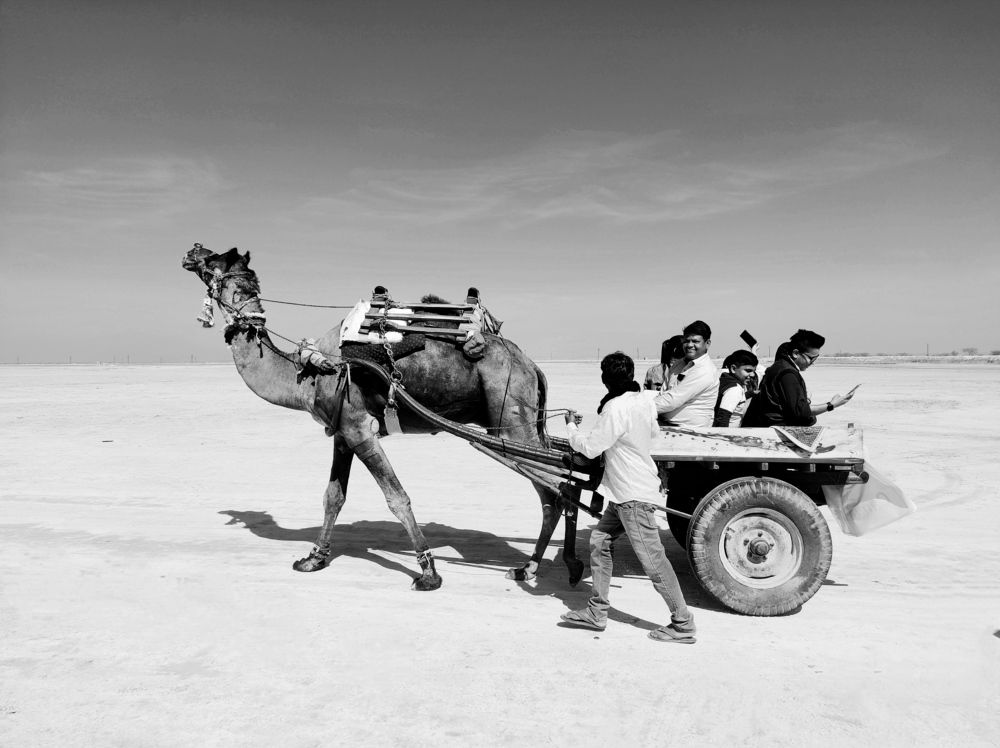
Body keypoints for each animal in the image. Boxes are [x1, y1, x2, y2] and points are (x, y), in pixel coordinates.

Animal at [182, 245, 584, 590]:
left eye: (214, 259)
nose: (191, 251)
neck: (310, 372)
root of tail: (532, 366)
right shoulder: (342, 432)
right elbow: (333, 496)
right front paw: (313, 558)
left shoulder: (360, 428)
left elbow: (396, 497)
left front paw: (428, 572)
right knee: (555, 489)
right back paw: (529, 567)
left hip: (513, 419)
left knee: (558, 489)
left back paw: (545, 567)